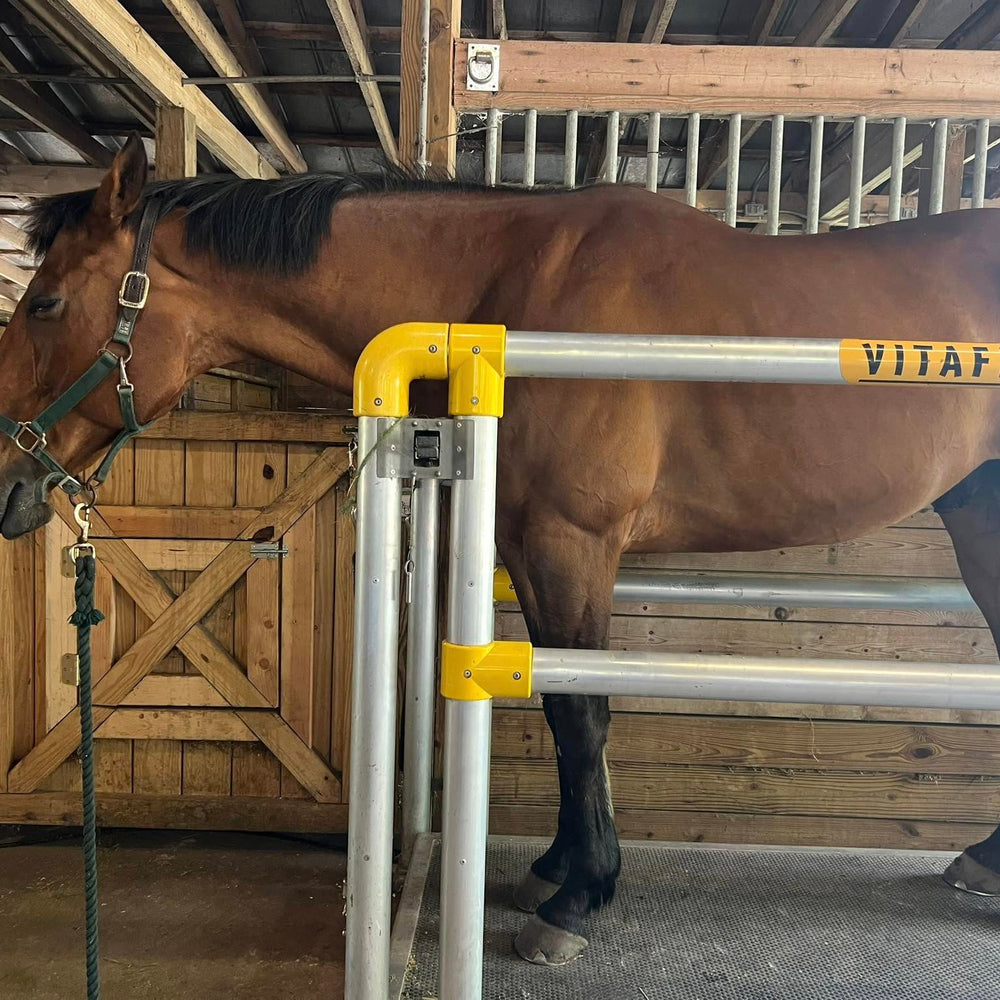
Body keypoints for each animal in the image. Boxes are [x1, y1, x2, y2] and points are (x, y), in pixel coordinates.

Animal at [3, 135, 1000, 967]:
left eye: (46, 300)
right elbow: (560, 702)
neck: (515, 293)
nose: (9, 481)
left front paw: (579, 900)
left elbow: (582, 712)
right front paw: (558, 867)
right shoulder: (527, 542)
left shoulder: (571, 541)